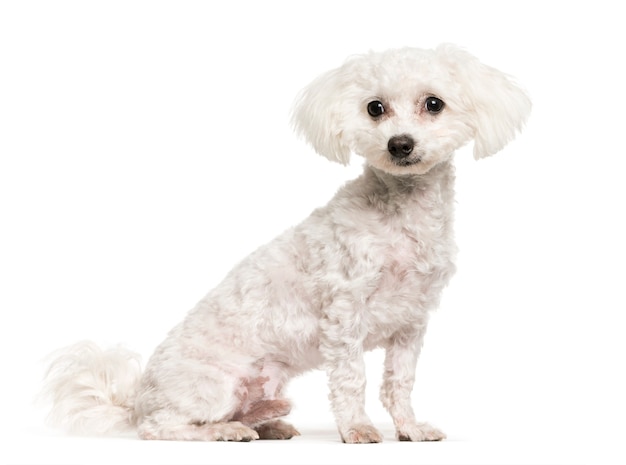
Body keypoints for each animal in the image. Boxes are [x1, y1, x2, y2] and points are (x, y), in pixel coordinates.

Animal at [41, 43, 528, 442]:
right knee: (161, 427)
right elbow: (352, 380)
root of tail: (139, 397)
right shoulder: (344, 315)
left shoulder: (411, 323)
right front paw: (358, 429)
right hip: (212, 387)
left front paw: (409, 428)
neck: (401, 215)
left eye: (434, 104)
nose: (400, 144)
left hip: (267, 382)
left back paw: (267, 420)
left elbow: (399, 383)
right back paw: (222, 431)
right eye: (375, 108)